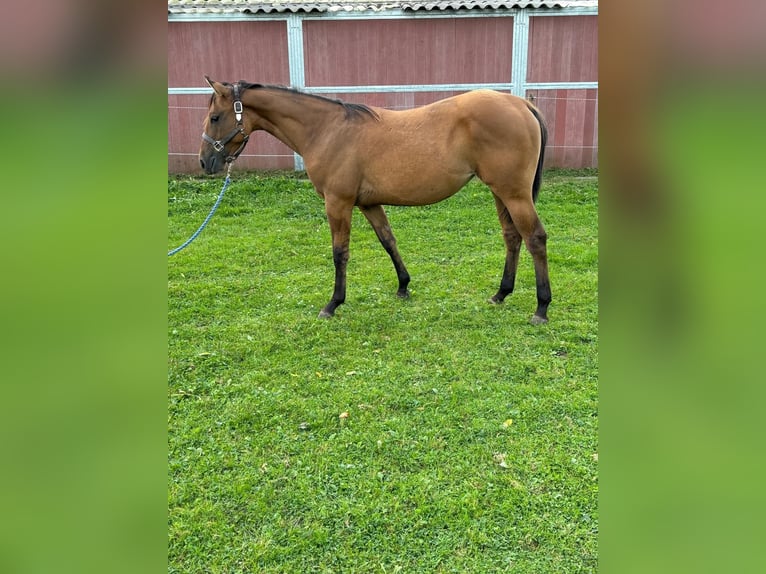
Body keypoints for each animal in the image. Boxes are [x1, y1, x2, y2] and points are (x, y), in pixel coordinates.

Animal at [199, 77, 551, 323]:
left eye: (215, 117)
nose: (205, 162)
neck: (327, 130)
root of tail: (522, 105)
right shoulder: (368, 203)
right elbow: (388, 240)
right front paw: (403, 286)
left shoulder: (338, 202)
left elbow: (340, 253)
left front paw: (333, 303)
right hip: (500, 192)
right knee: (512, 237)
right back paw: (501, 294)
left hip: (514, 193)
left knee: (534, 238)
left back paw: (542, 307)